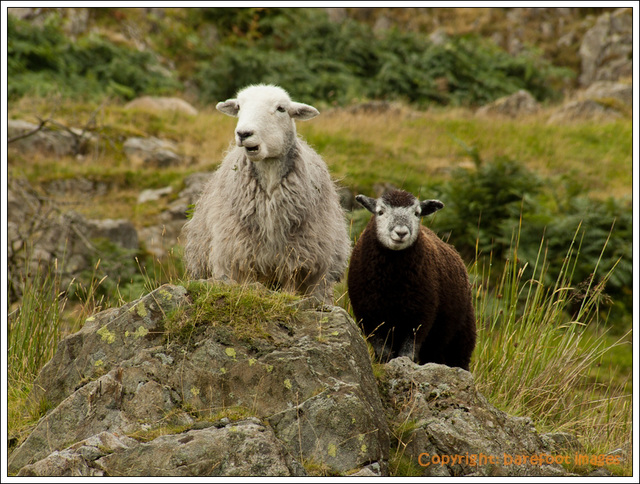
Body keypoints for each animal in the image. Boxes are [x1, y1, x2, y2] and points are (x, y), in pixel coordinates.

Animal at [180, 83, 350, 302]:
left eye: (281, 108)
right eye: (238, 106)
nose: (243, 133)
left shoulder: (297, 257)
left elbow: (290, 289)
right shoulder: (240, 254)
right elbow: (246, 285)